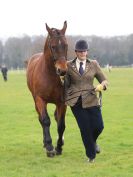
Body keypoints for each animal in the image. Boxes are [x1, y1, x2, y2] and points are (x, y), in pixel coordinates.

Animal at [26, 21, 68, 157]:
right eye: (53, 46)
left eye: (66, 45)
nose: (62, 70)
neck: (50, 75)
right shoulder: (40, 99)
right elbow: (45, 120)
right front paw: (49, 147)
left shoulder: (62, 102)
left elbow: (61, 124)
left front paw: (59, 147)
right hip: (35, 100)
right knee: (41, 118)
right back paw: (45, 144)